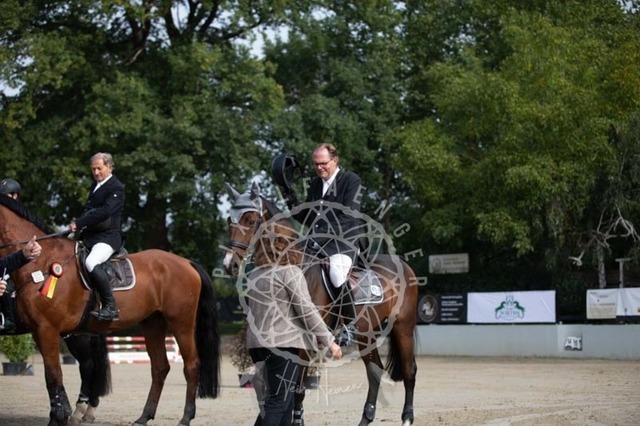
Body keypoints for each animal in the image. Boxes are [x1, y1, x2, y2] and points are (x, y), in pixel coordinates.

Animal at [0, 194, 221, 426]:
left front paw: (58, 417)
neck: (41, 261)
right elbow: (53, 376)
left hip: (181, 324)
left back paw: (185, 417)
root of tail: (187, 262)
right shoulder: (39, 330)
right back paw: (143, 416)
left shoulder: (46, 329)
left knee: (191, 365)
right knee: (159, 367)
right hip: (152, 324)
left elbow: (53, 375)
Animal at [223, 183, 418, 426]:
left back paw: (407, 418)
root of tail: (403, 265)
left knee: (409, 370)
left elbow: (297, 389)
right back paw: (365, 419)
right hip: (367, 335)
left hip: (403, 328)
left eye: (250, 221)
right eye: (228, 221)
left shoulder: (305, 345)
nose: (229, 264)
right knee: (375, 371)